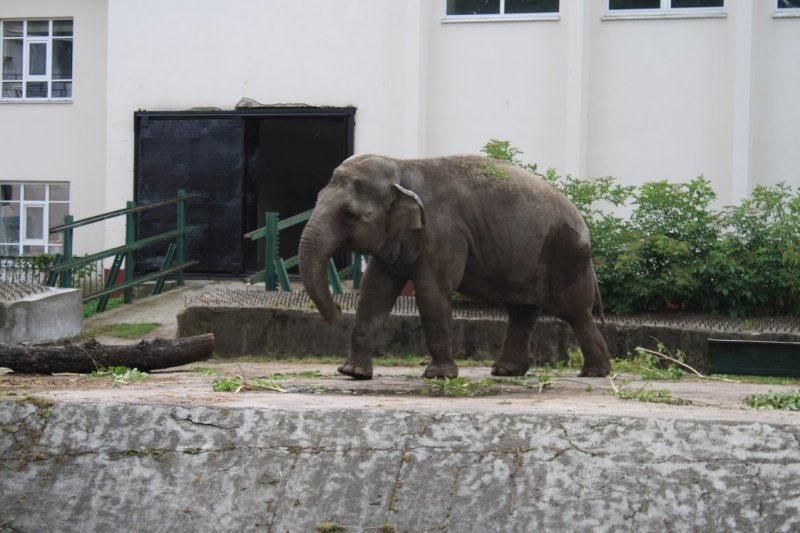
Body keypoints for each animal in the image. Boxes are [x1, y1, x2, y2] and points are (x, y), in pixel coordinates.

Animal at [300, 153, 612, 378]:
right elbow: (374, 292)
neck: (402, 166)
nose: (338, 311)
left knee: (575, 312)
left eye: (349, 214)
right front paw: (353, 373)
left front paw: (438, 376)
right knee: (521, 311)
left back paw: (594, 373)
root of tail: (583, 221)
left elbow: (431, 291)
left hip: (566, 255)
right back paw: (506, 372)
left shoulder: (444, 234)